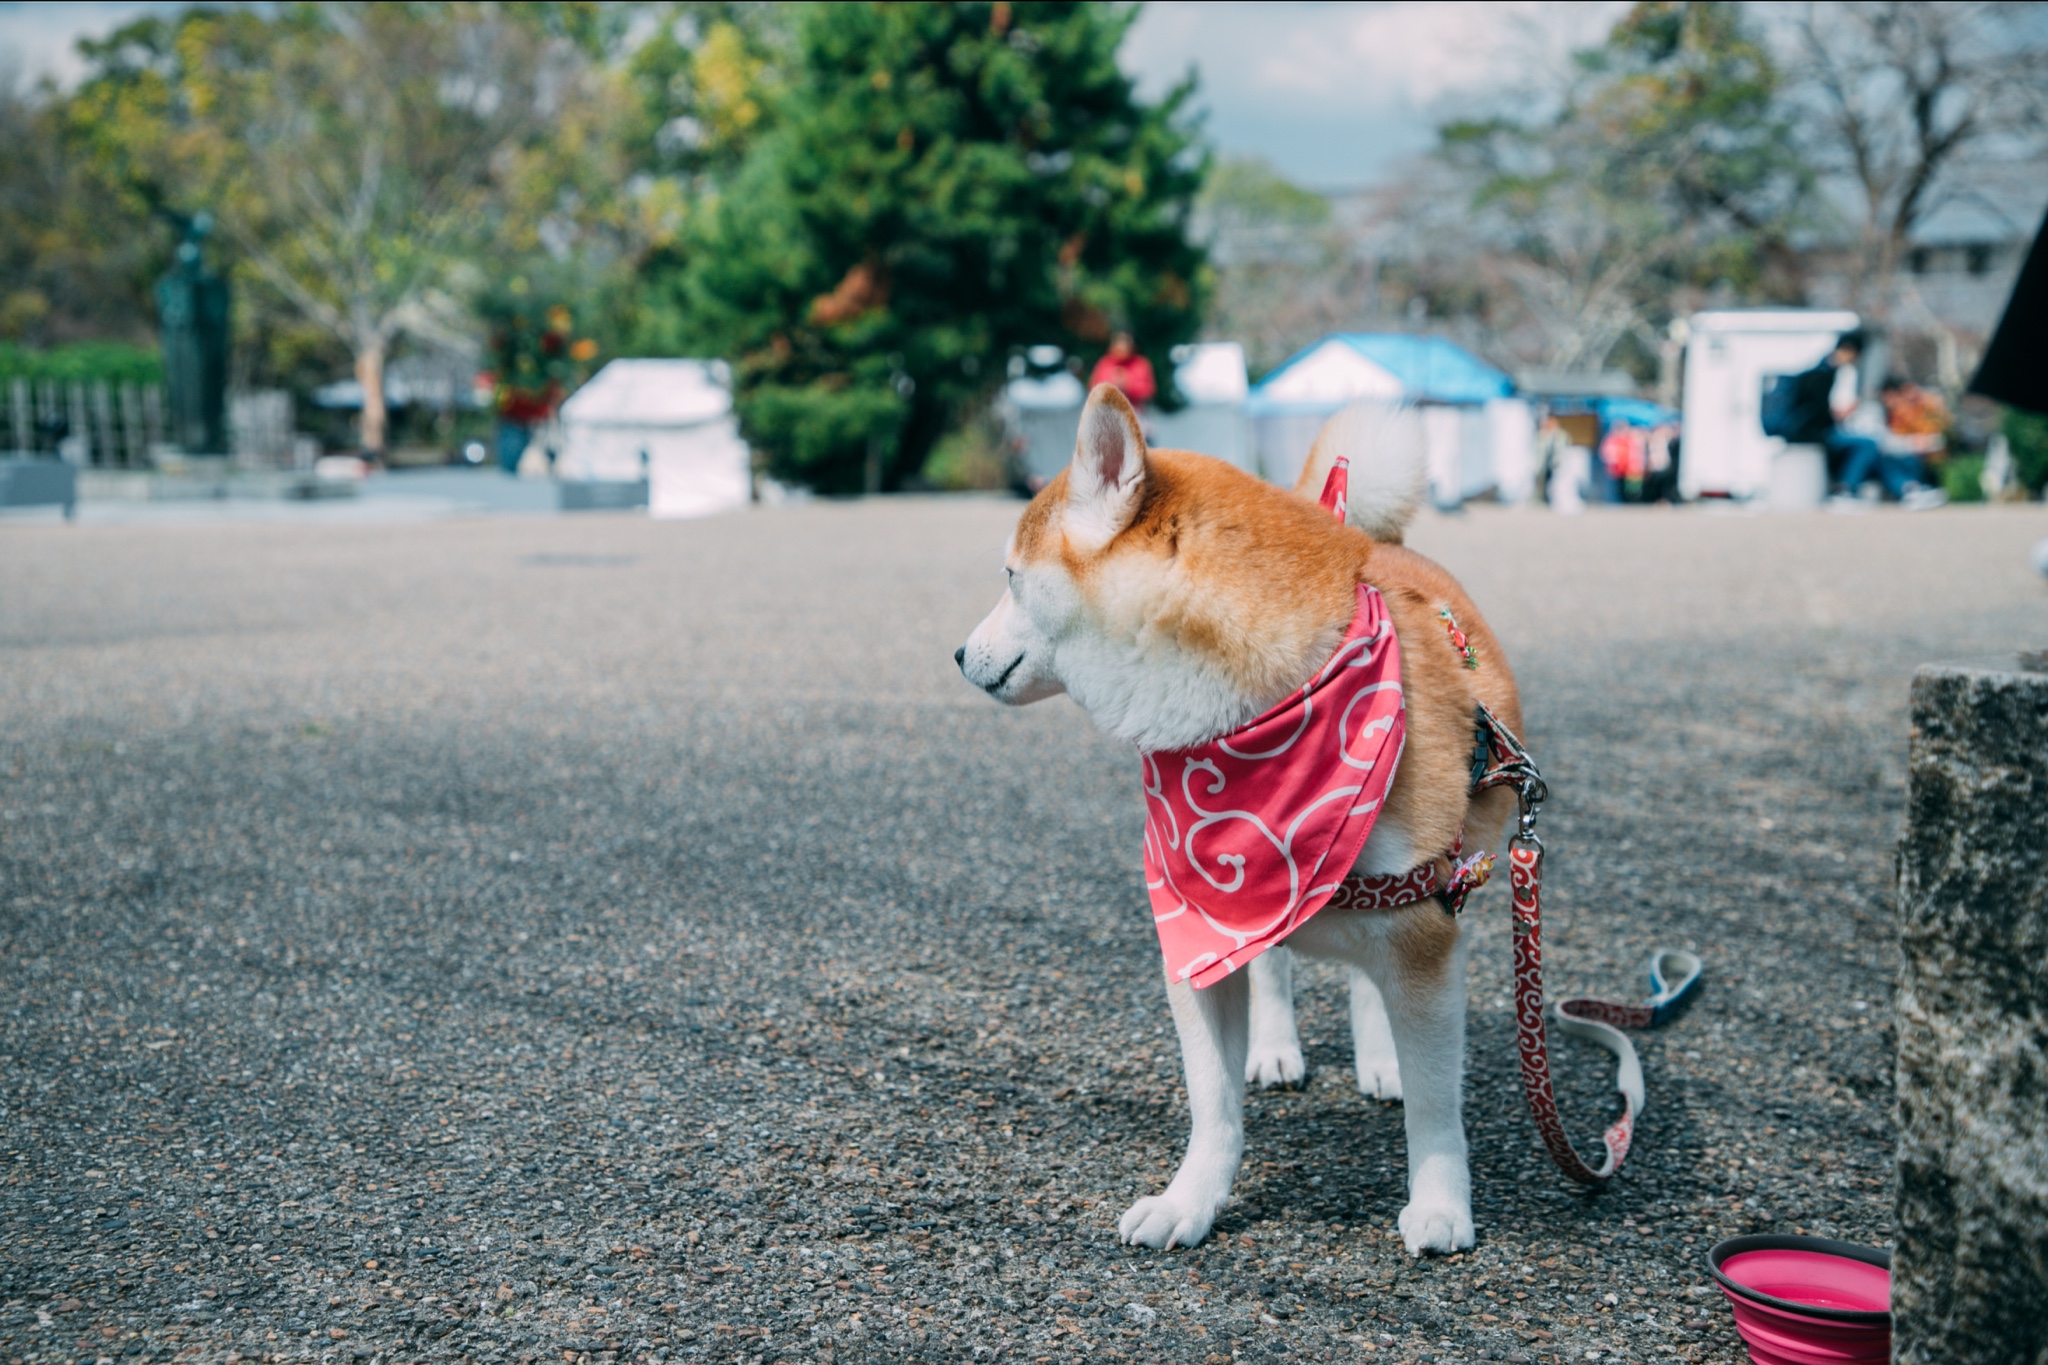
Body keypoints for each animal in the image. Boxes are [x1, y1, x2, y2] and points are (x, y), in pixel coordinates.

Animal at [954, 384, 1523, 1260]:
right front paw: (1189, 1201)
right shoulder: (1201, 927)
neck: (1253, 720)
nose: (956, 654)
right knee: (1277, 968)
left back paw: (1380, 1059)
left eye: (1011, 579)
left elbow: (1436, 1106)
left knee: (1365, 983)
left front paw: (1439, 1204)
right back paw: (1278, 1047)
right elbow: (1213, 1105)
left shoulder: (1423, 930)